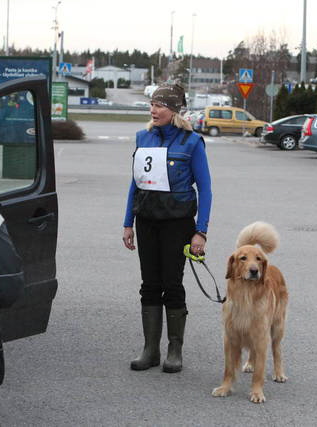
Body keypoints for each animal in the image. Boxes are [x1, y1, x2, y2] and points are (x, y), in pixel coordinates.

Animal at [211, 224, 288, 404]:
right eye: (243, 258)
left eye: (258, 259)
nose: (254, 271)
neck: (246, 296)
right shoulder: (230, 337)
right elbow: (229, 369)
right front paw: (225, 388)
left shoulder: (261, 336)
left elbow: (259, 373)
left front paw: (257, 393)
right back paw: (250, 364)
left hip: (277, 327)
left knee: (277, 350)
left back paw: (279, 373)